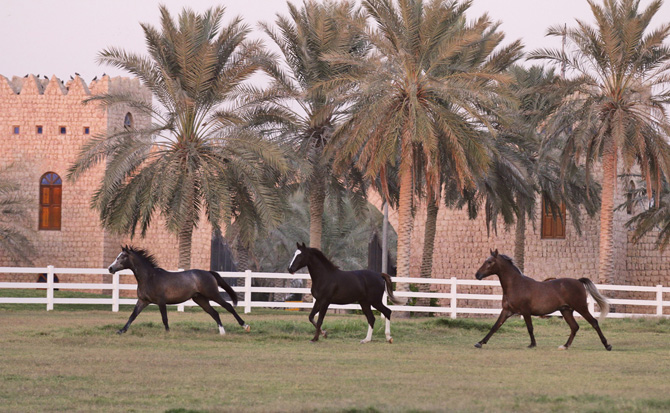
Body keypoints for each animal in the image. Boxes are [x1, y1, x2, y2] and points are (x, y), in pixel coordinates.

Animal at [107, 245, 249, 334]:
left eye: (122, 257)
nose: (110, 268)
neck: (149, 277)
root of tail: (209, 273)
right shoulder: (143, 301)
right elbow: (132, 316)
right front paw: (121, 331)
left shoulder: (161, 302)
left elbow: (164, 318)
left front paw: (168, 332)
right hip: (200, 299)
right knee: (214, 313)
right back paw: (222, 332)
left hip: (213, 294)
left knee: (228, 307)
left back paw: (245, 326)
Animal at [476, 249, 612, 350]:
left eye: (490, 262)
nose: (477, 275)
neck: (516, 285)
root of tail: (578, 281)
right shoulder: (506, 310)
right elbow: (495, 326)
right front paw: (480, 343)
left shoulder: (525, 311)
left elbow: (530, 328)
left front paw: (532, 344)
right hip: (566, 310)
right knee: (574, 327)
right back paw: (565, 346)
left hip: (581, 307)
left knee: (594, 322)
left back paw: (607, 345)